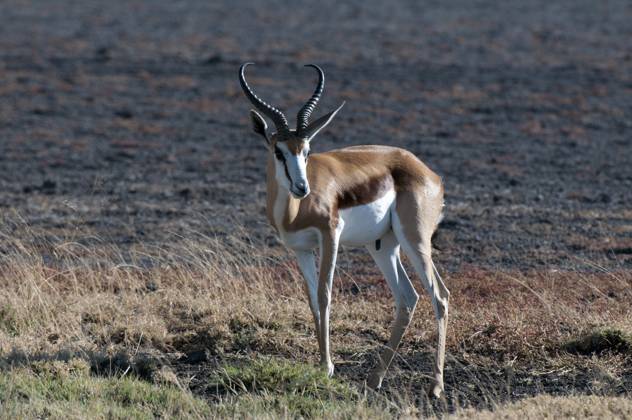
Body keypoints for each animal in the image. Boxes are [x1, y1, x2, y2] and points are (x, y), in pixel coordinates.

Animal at [237, 63, 450, 398]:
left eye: (307, 150)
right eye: (279, 151)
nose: (302, 187)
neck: (294, 211)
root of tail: (428, 172)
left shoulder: (330, 235)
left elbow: (325, 294)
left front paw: (327, 367)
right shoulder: (301, 249)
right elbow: (312, 299)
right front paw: (321, 363)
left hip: (414, 240)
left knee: (439, 296)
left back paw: (436, 386)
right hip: (383, 246)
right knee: (408, 297)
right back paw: (375, 378)